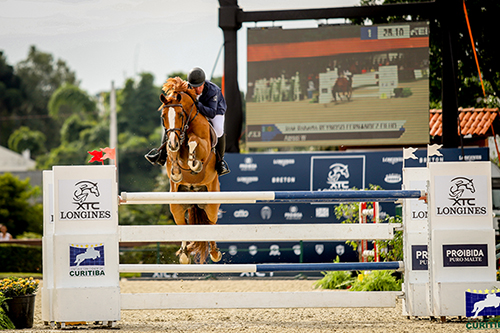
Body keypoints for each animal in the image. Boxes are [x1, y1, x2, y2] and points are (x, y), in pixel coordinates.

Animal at [158, 76, 221, 264]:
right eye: (163, 116)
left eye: (180, 114)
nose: (173, 142)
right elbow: (172, 154)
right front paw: (177, 172)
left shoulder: (204, 145)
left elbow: (194, 142)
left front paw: (194, 163)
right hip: (176, 207)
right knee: (184, 227)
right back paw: (184, 254)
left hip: (212, 204)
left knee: (211, 223)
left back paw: (215, 253)